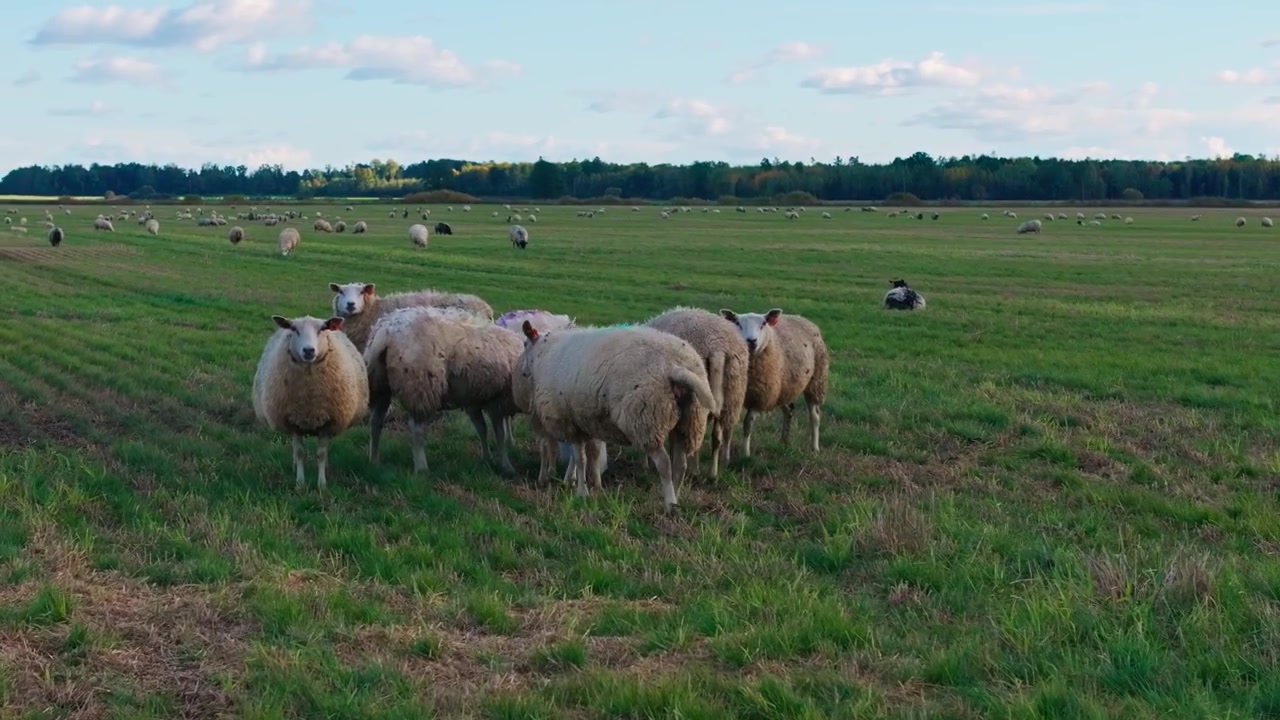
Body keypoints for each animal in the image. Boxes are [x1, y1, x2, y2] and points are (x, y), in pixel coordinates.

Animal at [252, 314, 369, 492]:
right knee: (295, 450)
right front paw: (300, 483)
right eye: (294, 329)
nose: (308, 350)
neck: (309, 400)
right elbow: (300, 452)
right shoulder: (293, 422)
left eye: (323, 328)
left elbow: (321, 454)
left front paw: (322, 484)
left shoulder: (327, 423)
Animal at [363, 305, 520, 476]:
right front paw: (506, 465)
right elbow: (499, 434)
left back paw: (374, 460)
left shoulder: (473, 400)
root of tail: (386, 331)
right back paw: (422, 468)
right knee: (416, 428)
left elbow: (482, 428)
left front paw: (487, 458)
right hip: (420, 385)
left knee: (376, 421)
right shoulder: (496, 399)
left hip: (380, 384)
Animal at [513, 322, 715, 510]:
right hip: (690, 420)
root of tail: (675, 366)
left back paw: (670, 504)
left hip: (646, 419)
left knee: (664, 463)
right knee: (680, 464)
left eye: (524, 343)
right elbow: (590, 455)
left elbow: (580, 459)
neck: (543, 354)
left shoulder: (569, 421)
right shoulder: (586, 421)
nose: (520, 371)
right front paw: (591, 485)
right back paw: (677, 497)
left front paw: (581, 492)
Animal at [719, 308, 829, 459]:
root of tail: (801, 318)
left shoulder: (759, 396)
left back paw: (814, 447)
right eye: (737, 323)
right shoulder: (733, 396)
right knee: (789, 411)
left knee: (815, 416)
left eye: (763, 324)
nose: (751, 341)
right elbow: (728, 426)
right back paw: (784, 441)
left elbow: (748, 424)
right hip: (784, 387)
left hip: (816, 381)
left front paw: (745, 453)